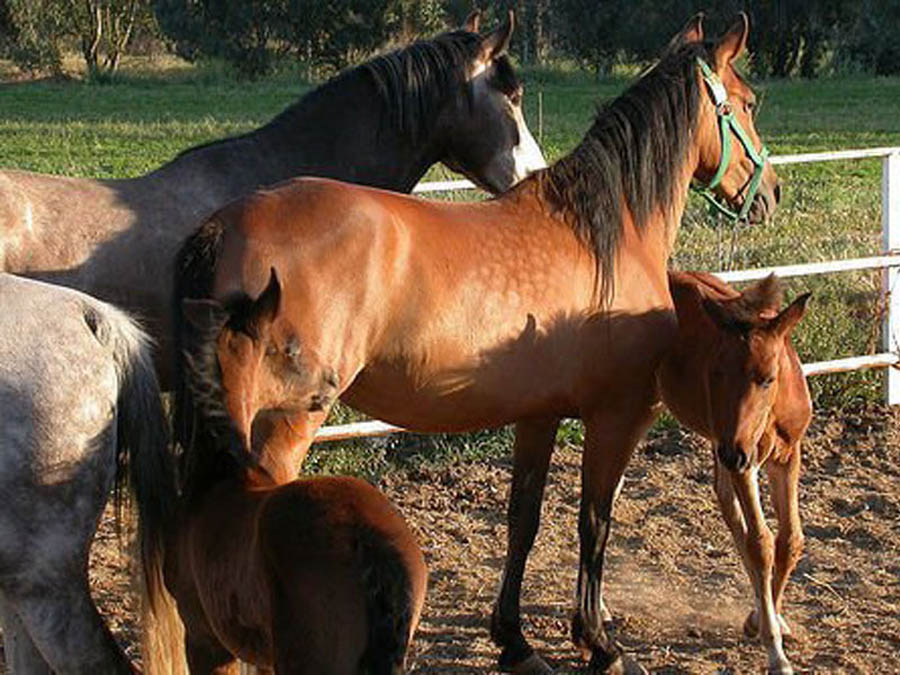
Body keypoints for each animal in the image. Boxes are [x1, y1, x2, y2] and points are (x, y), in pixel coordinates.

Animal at [172, 13, 779, 674]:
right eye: (749, 103)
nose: (770, 193)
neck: (608, 233)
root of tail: (224, 223)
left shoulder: (539, 416)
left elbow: (523, 520)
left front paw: (515, 640)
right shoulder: (620, 415)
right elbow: (595, 521)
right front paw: (599, 641)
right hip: (282, 424)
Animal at [657, 271, 811, 674]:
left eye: (767, 378)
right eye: (716, 373)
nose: (732, 451)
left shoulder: (786, 456)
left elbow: (789, 541)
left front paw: (766, 619)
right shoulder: (747, 463)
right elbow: (761, 543)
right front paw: (773, 648)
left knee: (726, 505)